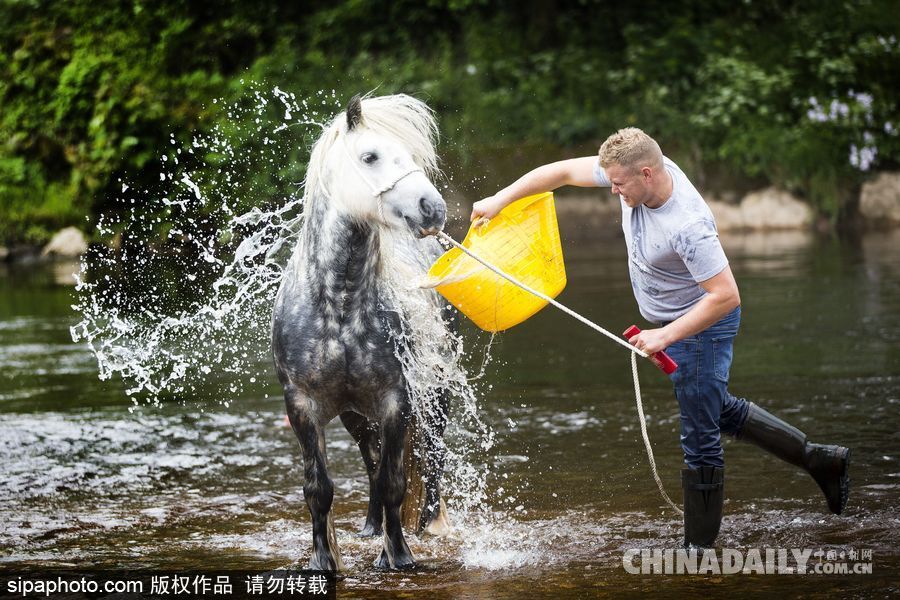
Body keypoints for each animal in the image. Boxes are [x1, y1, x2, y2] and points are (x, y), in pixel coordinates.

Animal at [268, 95, 448, 572]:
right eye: (370, 156)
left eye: (415, 157)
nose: (432, 208)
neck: (340, 306)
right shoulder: (302, 406)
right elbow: (319, 488)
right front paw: (323, 560)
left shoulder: (396, 400)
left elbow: (393, 482)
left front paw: (398, 555)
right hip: (354, 416)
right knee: (370, 459)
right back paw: (369, 527)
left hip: (434, 395)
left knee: (433, 456)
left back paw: (430, 526)